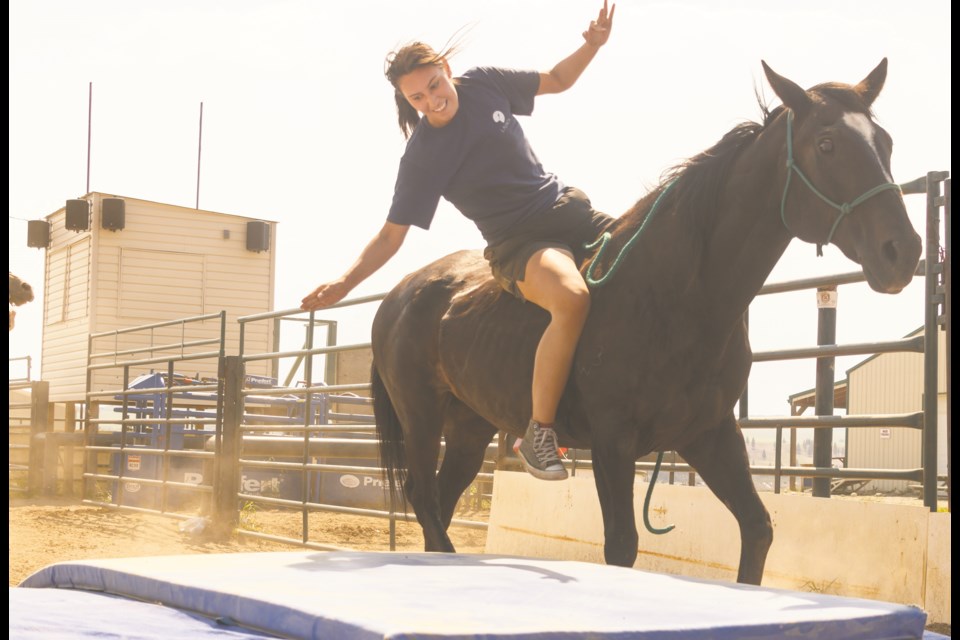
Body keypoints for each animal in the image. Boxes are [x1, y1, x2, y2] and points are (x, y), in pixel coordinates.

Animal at [370, 60, 924, 584]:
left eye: (886, 142)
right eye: (826, 144)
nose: (903, 251)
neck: (676, 296)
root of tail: (401, 294)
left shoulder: (711, 435)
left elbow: (757, 528)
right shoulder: (613, 443)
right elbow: (621, 546)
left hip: (469, 428)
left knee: (439, 503)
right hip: (422, 419)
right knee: (424, 499)